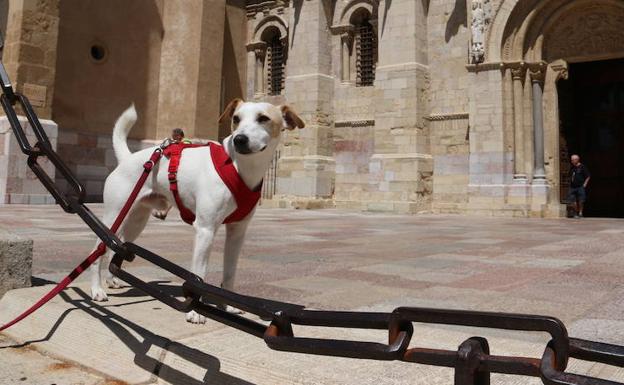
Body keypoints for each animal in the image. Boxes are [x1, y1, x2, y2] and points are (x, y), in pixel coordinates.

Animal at [89, 97, 304, 322]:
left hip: (136, 220)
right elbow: (198, 275)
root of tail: (128, 159)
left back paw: (112, 279)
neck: (240, 168)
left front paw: (228, 307)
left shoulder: (237, 232)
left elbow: (230, 274)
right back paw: (96, 290)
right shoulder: (205, 230)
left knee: (118, 244)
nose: (239, 139)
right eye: (236, 119)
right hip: (114, 214)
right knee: (98, 250)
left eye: (263, 118)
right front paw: (194, 311)